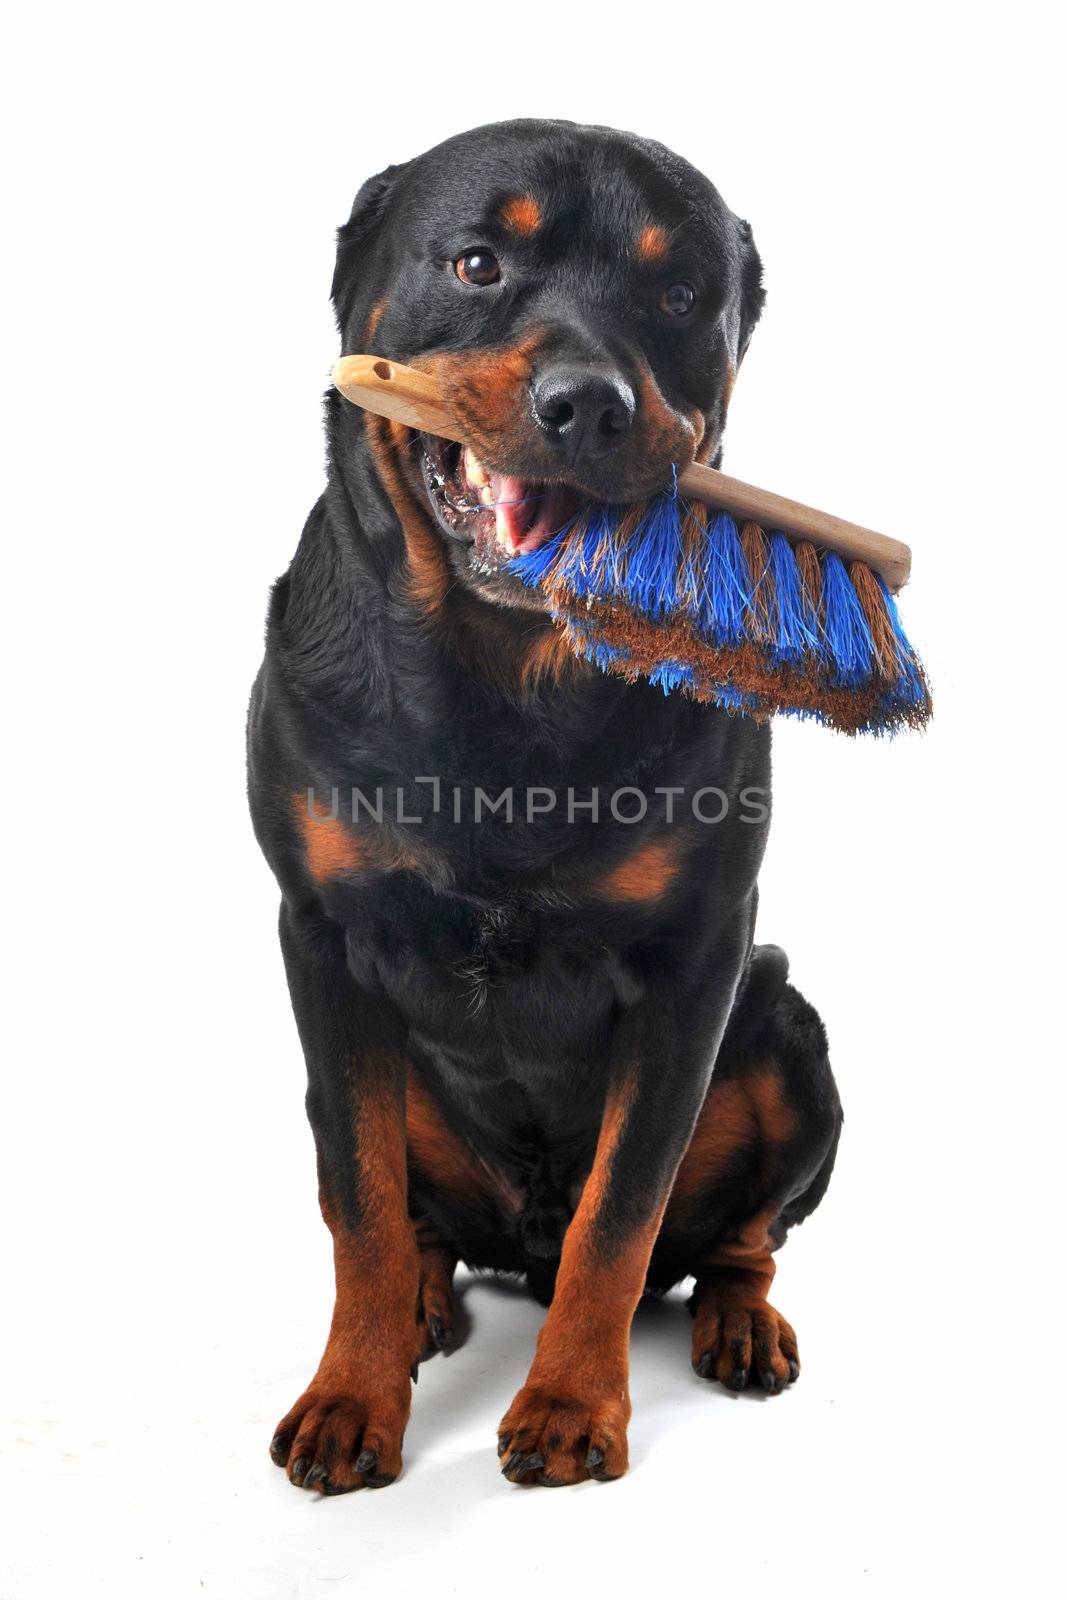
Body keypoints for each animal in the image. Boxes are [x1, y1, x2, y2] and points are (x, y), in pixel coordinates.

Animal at [247, 118, 844, 1491]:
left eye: (676, 296)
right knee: (403, 1209)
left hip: (787, 1028)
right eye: (477, 262)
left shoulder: (695, 961)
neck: (501, 684)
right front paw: (351, 1396)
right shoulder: (320, 936)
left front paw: (573, 1402)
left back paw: (741, 1322)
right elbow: (359, 1201)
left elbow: (618, 1215)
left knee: (731, 1238)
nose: (585, 402)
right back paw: (421, 1303)